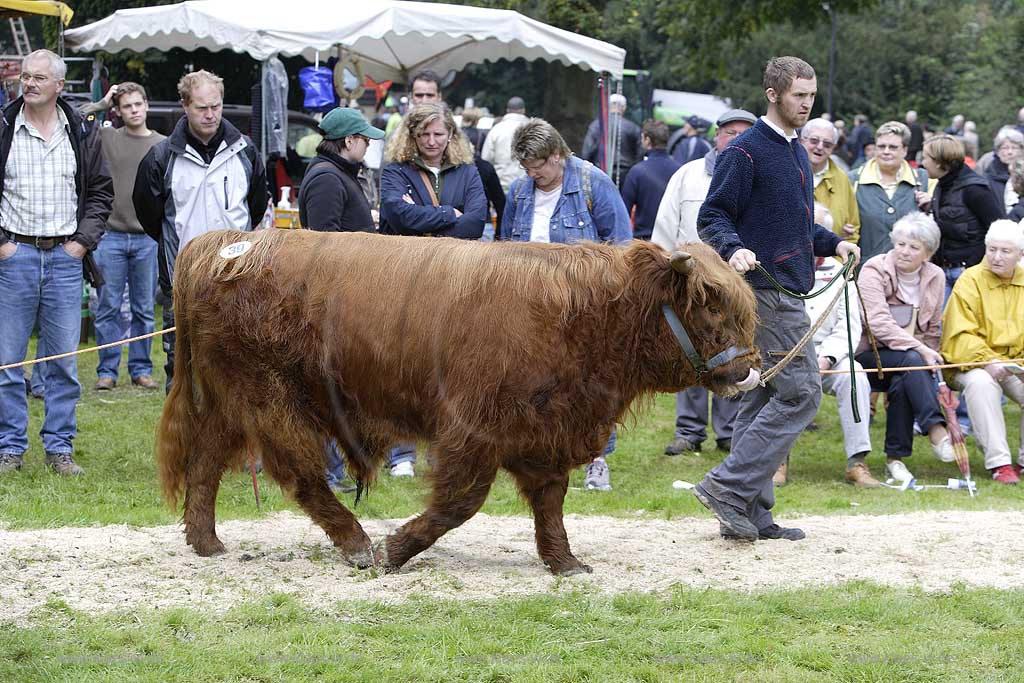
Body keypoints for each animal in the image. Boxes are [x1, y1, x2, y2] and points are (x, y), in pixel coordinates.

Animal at [155, 231, 757, 577]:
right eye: (710, 306)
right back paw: (358, 546)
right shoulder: (473, 430)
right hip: (269, 395)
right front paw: (395, 552)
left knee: (206, 461)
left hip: (233, 400)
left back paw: (207, 543)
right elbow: (458, 503)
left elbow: (550, 500)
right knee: (299, 472)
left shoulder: (543, 432)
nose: (748, 370)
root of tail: (220, 244)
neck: (590, 312)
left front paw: (564, 562)